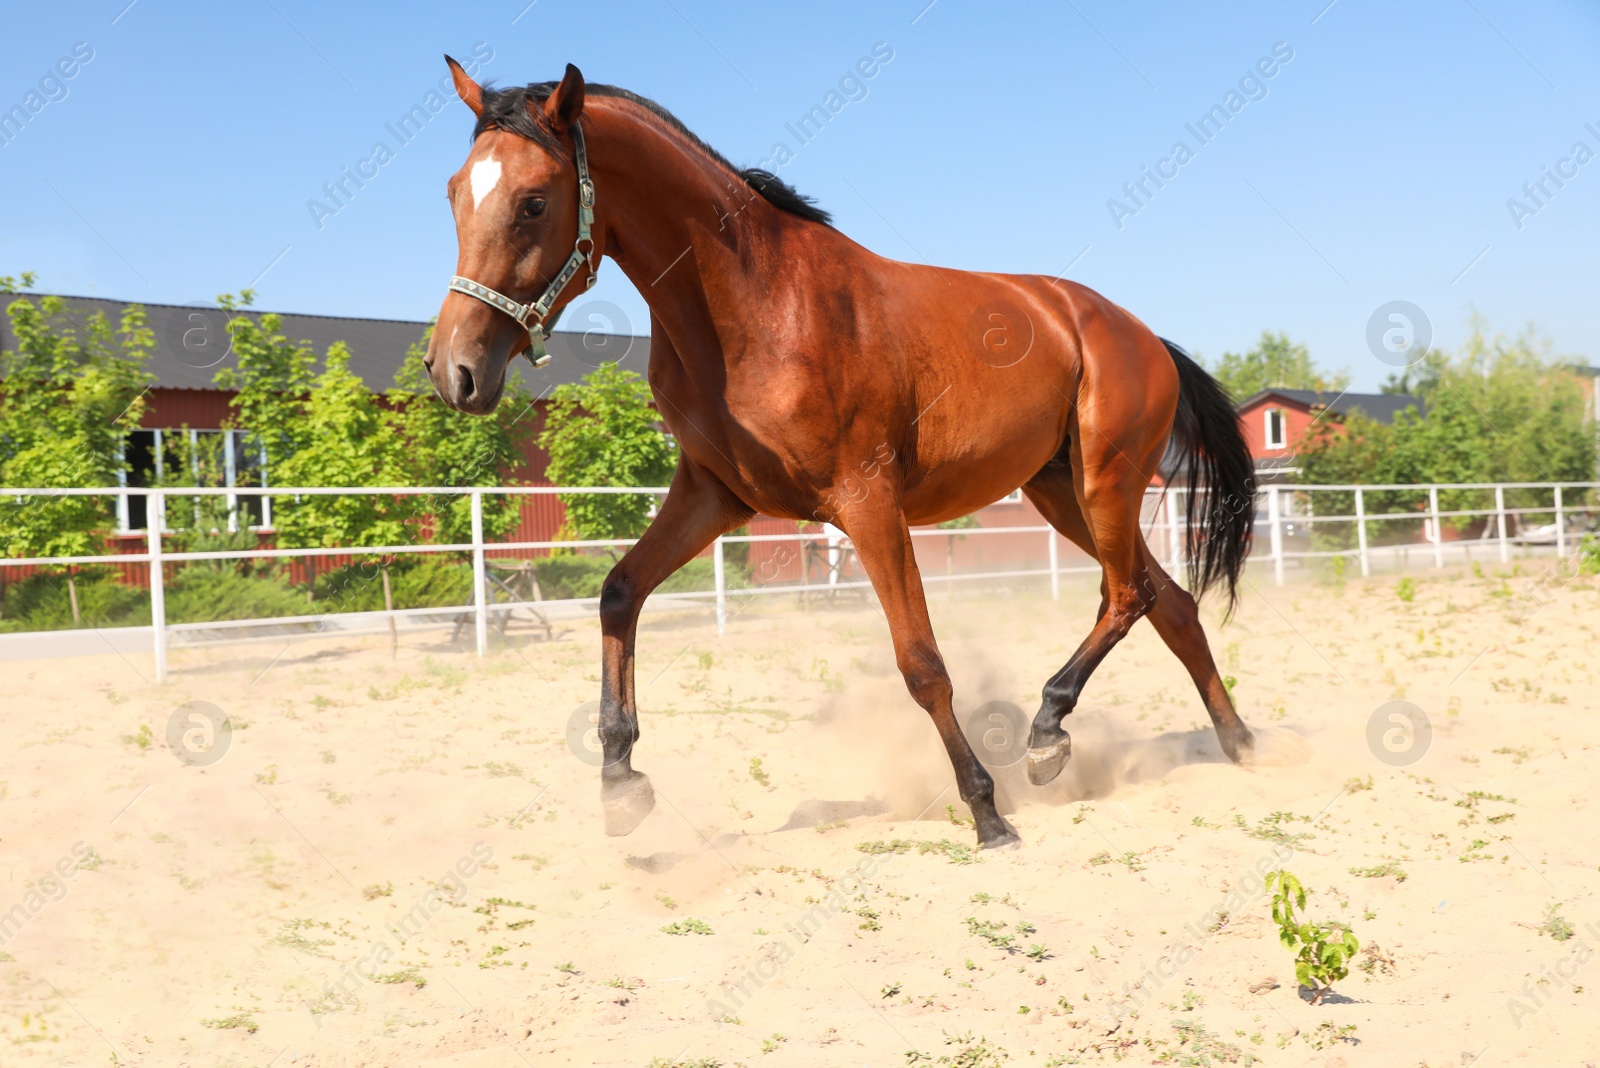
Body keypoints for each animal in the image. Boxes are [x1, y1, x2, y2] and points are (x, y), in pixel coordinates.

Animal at [432, 60, 1254, 850]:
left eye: (534, 202)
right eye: (453, 195)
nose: (454, 372)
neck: (756, 305)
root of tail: (1141, 335)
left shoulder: (867, 501)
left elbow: (922, 663)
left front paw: (987, 815)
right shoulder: (713, 496)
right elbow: (617, 594)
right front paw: (619, 783)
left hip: (1106, 483)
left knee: (1128, 596)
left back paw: (1049, 734)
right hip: (1060, 493)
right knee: (1169, 603)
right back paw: (1238, 741)